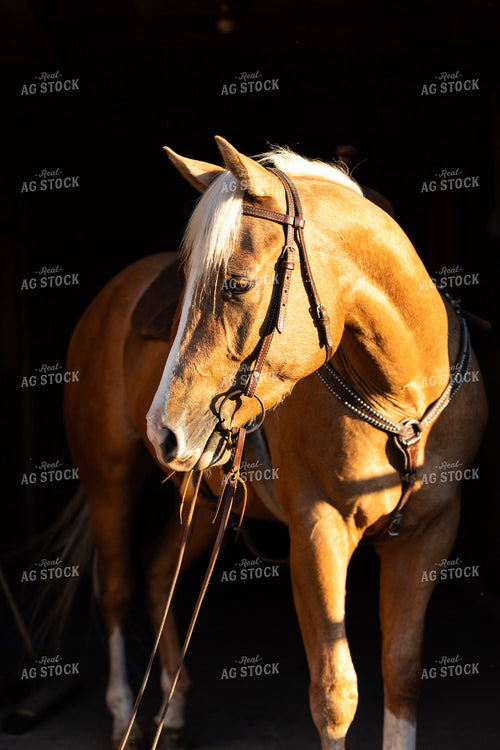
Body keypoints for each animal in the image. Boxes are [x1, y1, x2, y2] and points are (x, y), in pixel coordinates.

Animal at [144, 136, 488, 750]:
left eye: (236, 284)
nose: (163, 429)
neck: (400, 403)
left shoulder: (429, 534)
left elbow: (401, 671)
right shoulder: (316, 530)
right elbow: (335, 695)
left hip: (203, 508)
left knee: (159, 574)